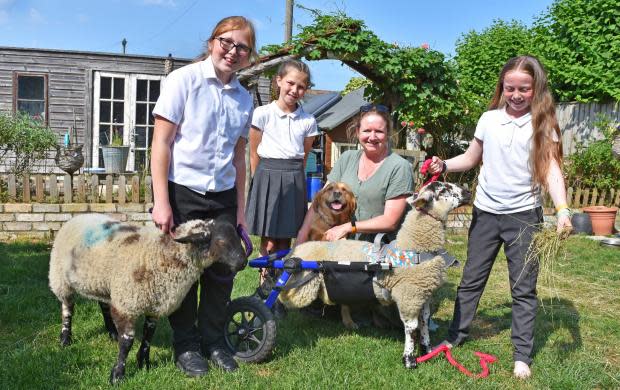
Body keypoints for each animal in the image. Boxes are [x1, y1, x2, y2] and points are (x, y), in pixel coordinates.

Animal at [49, 215, 247, 386]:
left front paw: (144, 363)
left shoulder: (156, 305)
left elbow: (148, 336)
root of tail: (79, 216)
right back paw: (65, 338)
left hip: (100, 281)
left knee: (103, 304)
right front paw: (117, 375)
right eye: (221, 241)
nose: (243, 263)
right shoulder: (126, 304)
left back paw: (111, 332)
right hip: (61, 278)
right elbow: (127, 342)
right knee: (68, 308)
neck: (162, 253)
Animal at [274, 181, 468, 368]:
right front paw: (409, 359)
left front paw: (427, 350)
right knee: (281, 294)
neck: (414, 246)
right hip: (301, 284)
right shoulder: (408, 296)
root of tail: (296, 251)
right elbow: (411, 327)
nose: (467, 192)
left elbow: (424, 321)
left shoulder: (423, 294)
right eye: (443, 189)